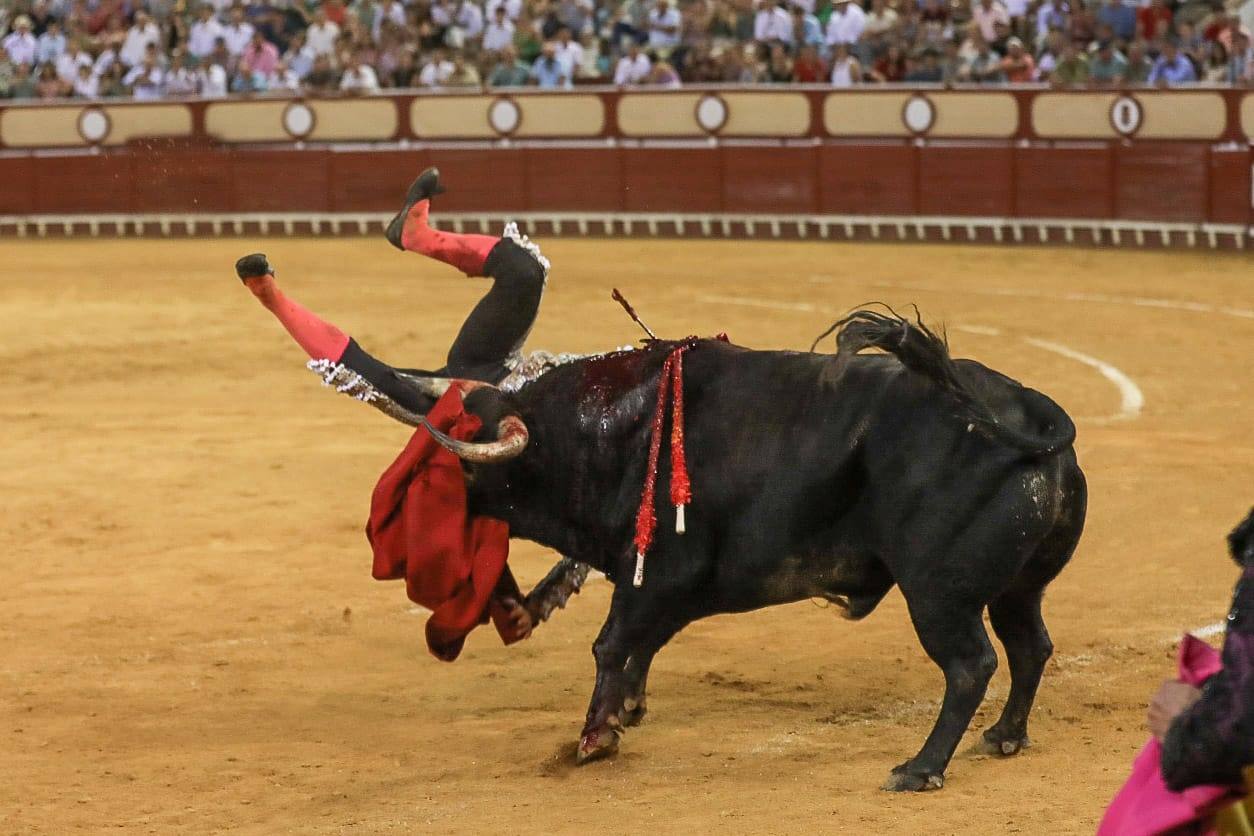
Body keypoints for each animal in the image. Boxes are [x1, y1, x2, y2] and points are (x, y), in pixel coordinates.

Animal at [426, 312, 1083, 792]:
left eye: (462, 454)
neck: (612, 430)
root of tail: (1027, 409)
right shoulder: (669, 584)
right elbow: (643, 642)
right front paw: (628, 709)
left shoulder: (661, 571)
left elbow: (611, 643)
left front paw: (593, 737)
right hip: (1017, 588)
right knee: (1030, 646)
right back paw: (1003, 736)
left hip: (938, 593)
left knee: (972, 665)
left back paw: (920, 769)